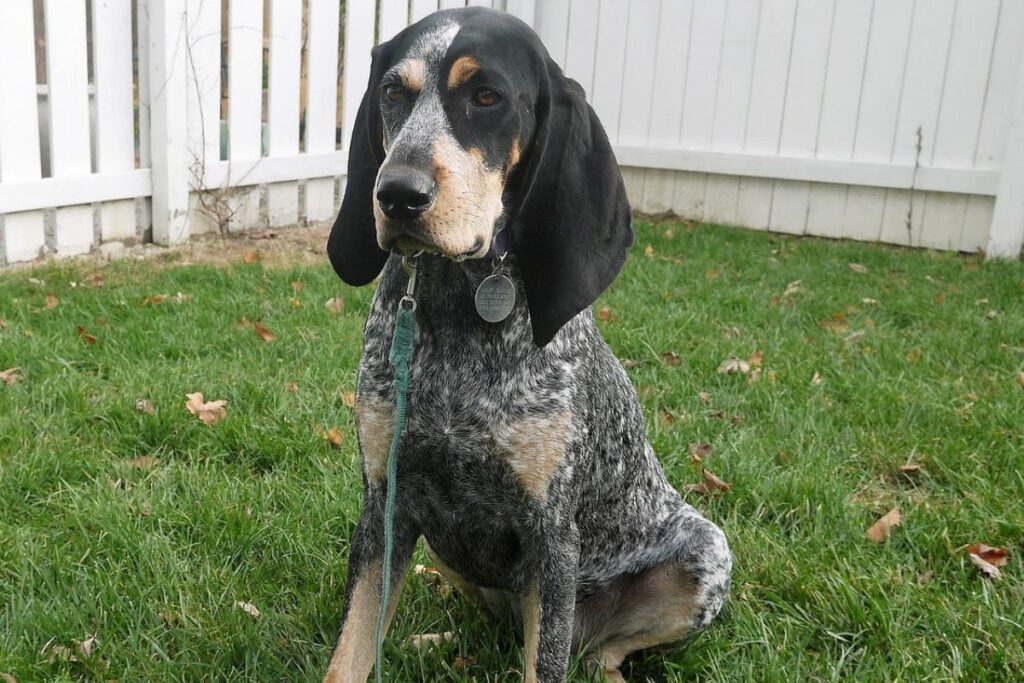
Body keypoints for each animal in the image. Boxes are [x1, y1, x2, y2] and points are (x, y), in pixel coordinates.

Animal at [323, 7, 733, 679]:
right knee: (499, 626)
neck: (457, 308)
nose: (397, 194)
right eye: (393, 93)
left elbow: (543, 664)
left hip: (704, 555)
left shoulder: (552, 537)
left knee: (592, 651)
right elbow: (351, 651)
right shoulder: (384, 506)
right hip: (448, 551)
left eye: (486, 97)